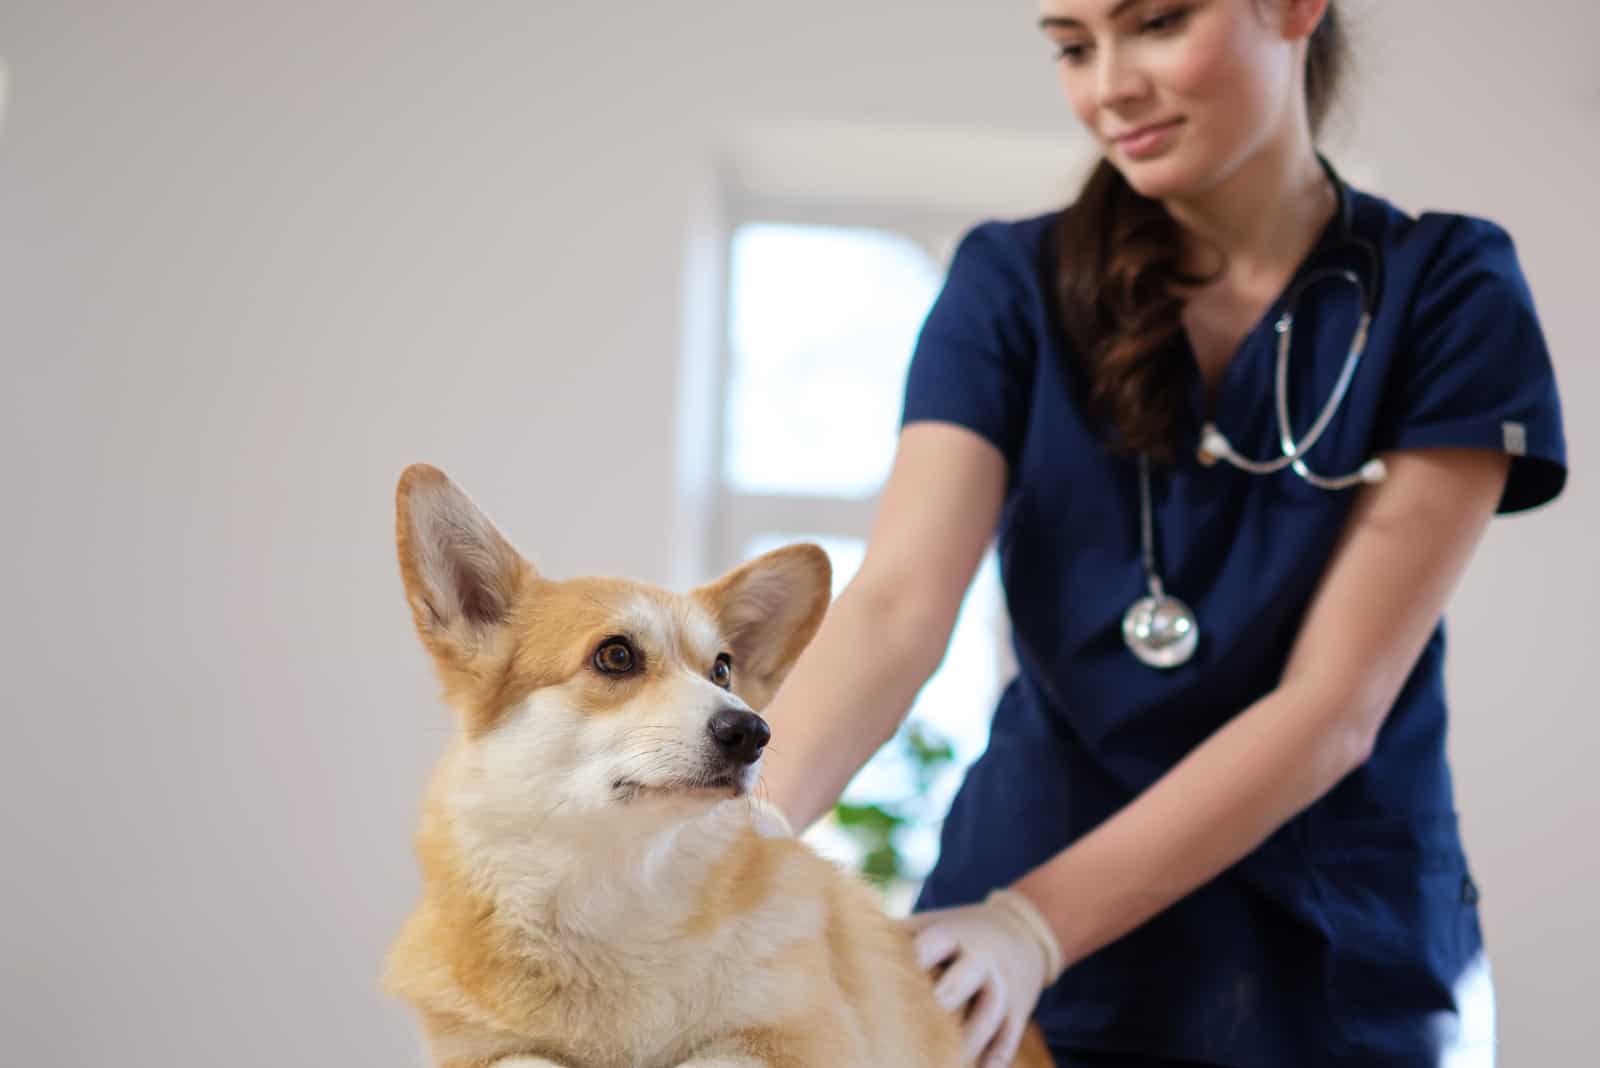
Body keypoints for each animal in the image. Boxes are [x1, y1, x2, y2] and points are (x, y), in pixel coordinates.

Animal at [380, 460, 1056, 1068]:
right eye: (615, 655)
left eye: (723, 669)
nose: (751, 732)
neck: (614, 892)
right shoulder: (478, 1050)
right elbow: (527, 1059)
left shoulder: (800, 1037)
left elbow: (714, 1056)